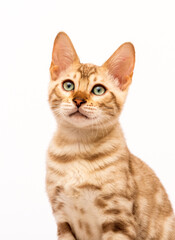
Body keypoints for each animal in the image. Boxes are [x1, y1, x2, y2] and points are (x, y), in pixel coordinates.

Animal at [45, 32, 175, 240]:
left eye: (98, 90)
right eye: (68, 85)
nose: (78, 100)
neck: (77, 148)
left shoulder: (118, 218)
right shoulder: (62, 219)